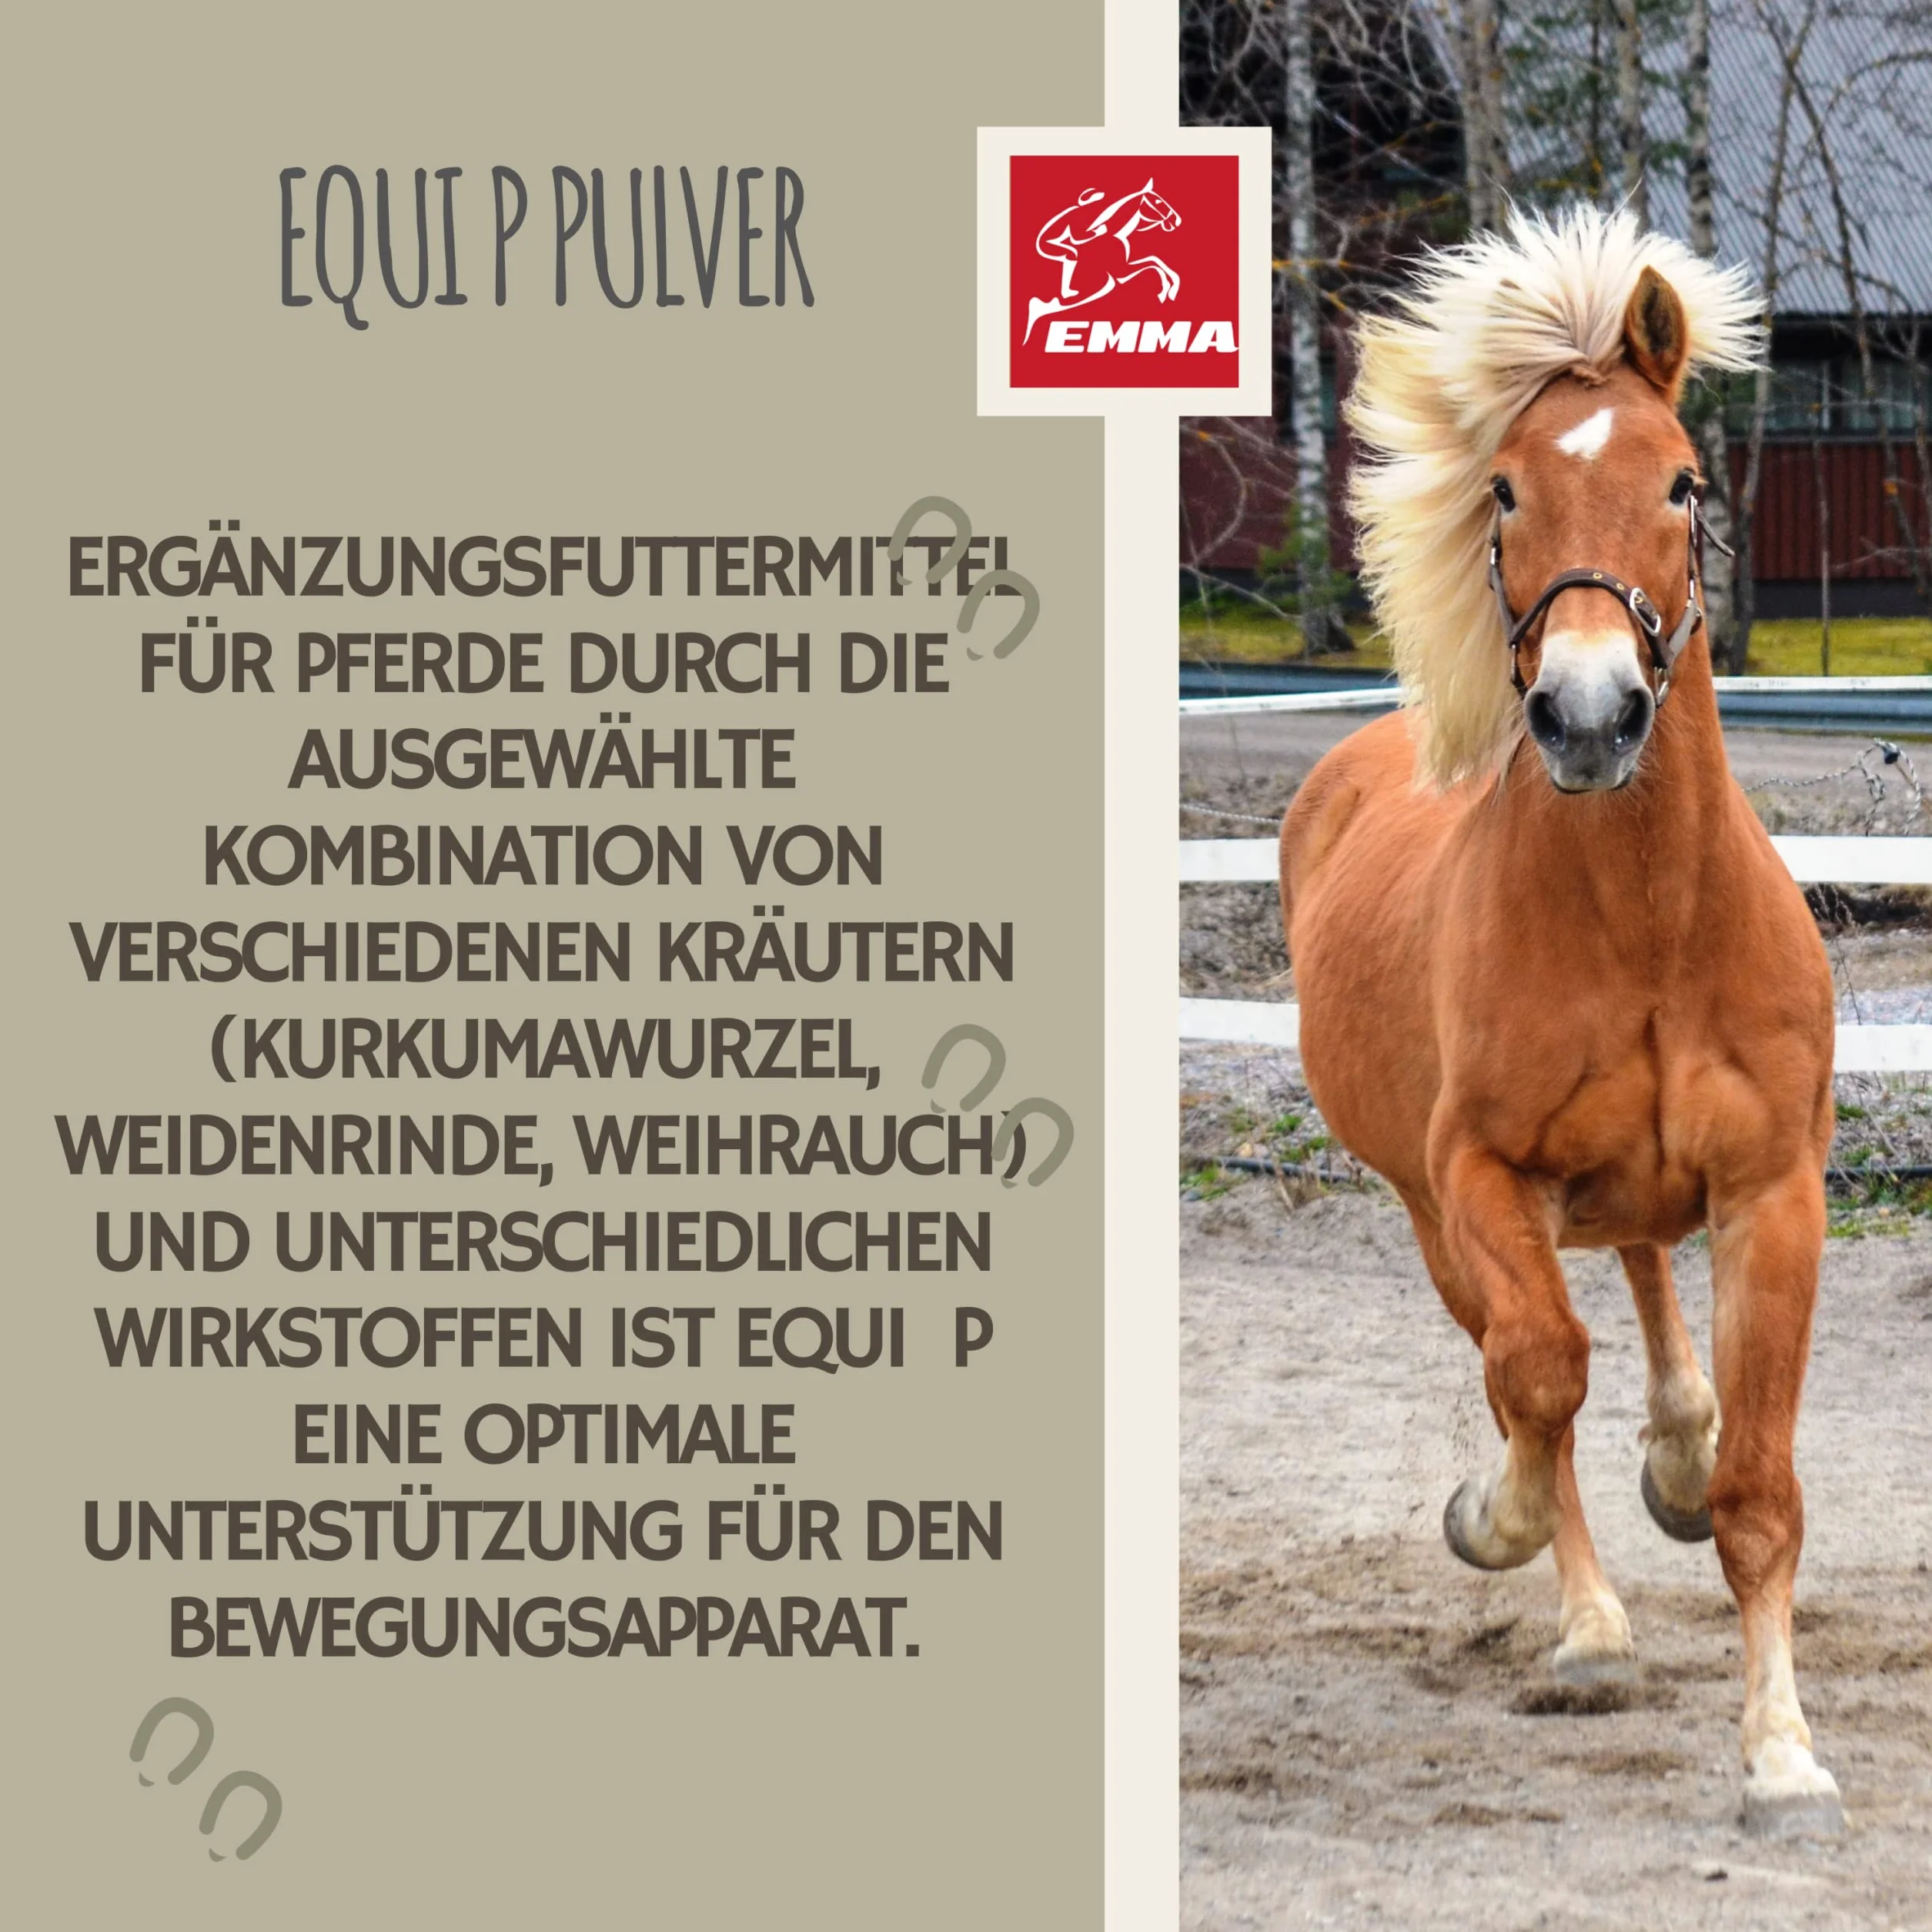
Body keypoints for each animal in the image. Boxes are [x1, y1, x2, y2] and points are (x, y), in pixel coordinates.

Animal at [1279, 206, 1844, 1838]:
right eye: (1508, 486)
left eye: (1683, 479)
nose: (1590, 717)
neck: (1649, 926)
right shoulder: (1482, 1179)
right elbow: (1537, 1377)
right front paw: (1497, 1520)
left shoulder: (1772, 1193)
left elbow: (1760, 1491)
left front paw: (1783, 1756)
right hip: (1433, 1214)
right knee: (1538, 1357)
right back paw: (1585, 1617)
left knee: (1645, 1283)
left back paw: (1678, 1444)